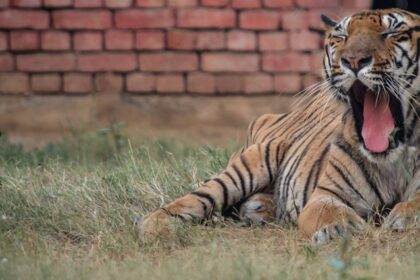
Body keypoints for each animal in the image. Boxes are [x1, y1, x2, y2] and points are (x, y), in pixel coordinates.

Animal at [139, 8, 420, 245]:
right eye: (342, 36)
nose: (353, 60)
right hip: (249, 165)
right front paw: (339, 230)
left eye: (391, 33)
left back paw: (259, 208)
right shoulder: (326, 195)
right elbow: (327, 213)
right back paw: (153, 227)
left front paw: (403, 217)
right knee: (197, 198)